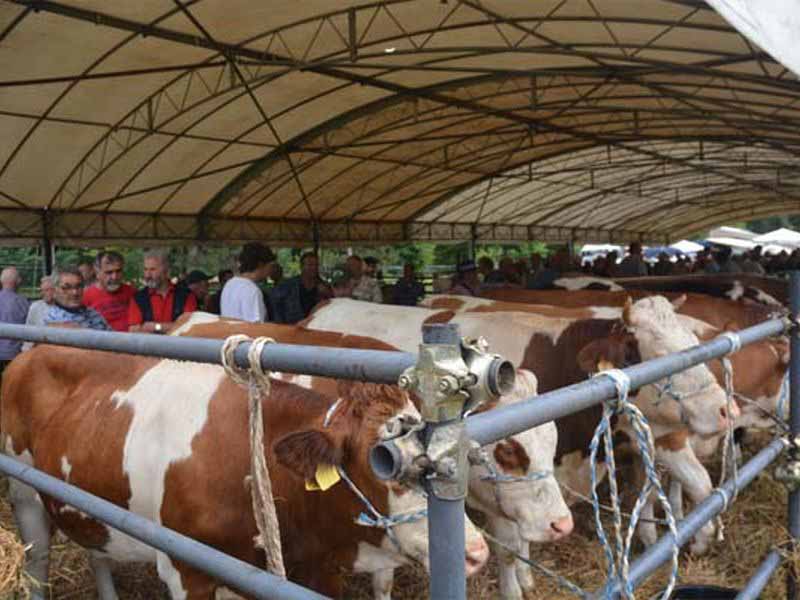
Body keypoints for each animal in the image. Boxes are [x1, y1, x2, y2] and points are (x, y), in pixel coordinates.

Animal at [0, 342, 490, 600]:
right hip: (24, 493)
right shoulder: (186, 570)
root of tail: (33, 351)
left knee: (96, 548)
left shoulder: (317, 568)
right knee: (37, 560)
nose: (475, 553)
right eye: (384, 461)